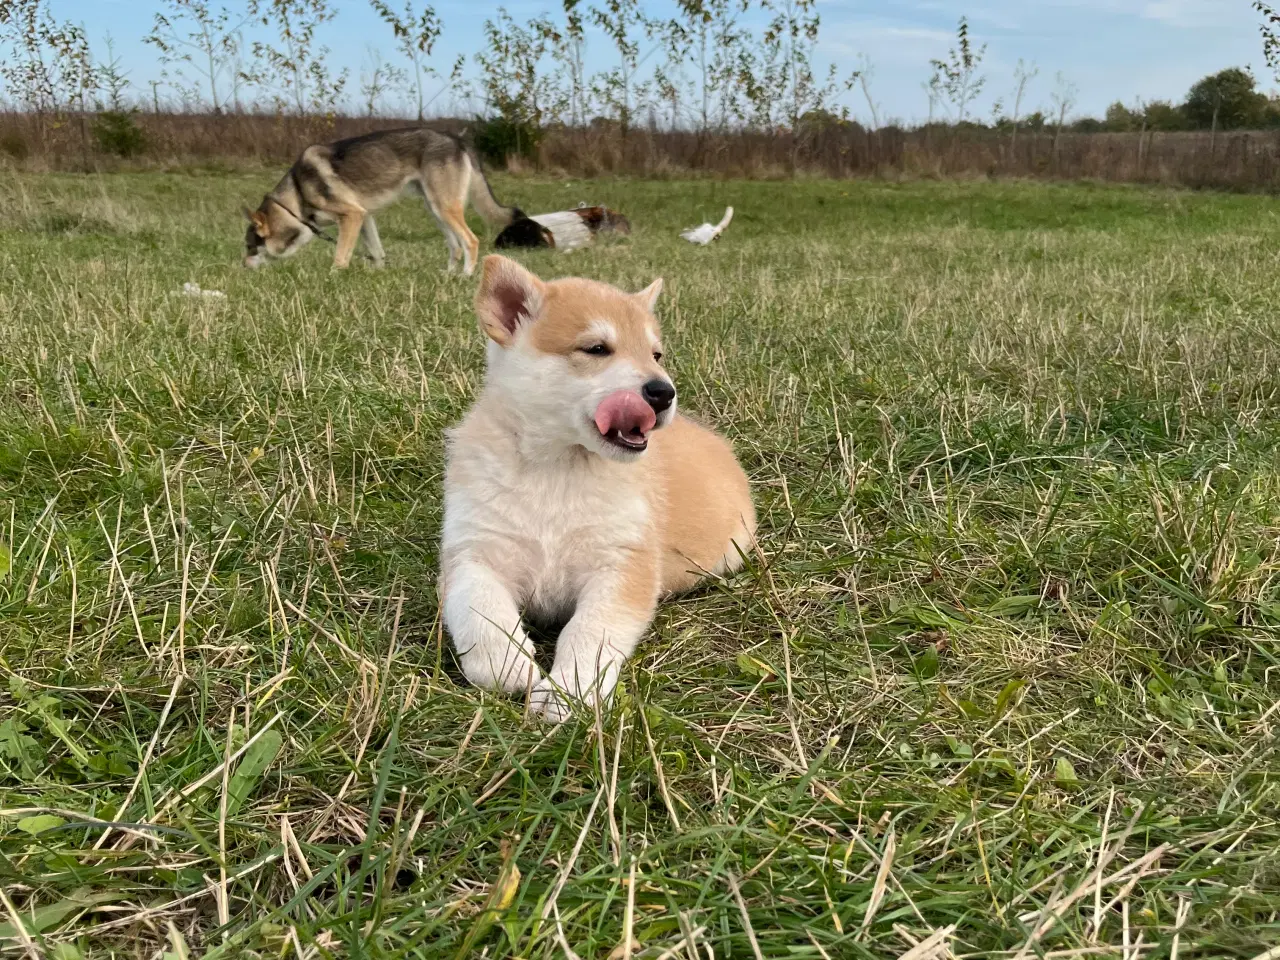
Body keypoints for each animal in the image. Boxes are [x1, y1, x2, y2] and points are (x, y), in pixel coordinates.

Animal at [442, 256, 752, 721]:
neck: (558, 471)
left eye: (656, 354)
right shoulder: (473, 553)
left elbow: (589, 631)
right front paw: (506, 664)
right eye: (596, 349)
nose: (663, 391)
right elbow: (481, 612)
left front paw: (567, 690)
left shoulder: (622, 565)